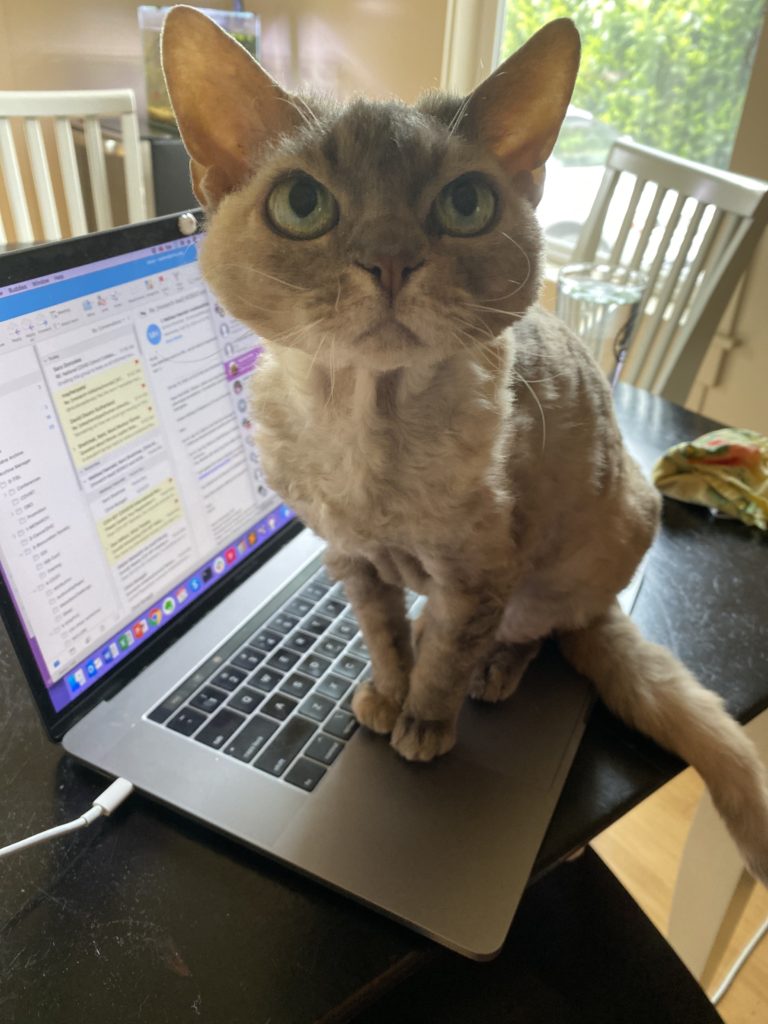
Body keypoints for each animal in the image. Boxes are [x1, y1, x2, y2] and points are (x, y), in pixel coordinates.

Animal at [162, 6, 768, 884]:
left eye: (467, 204)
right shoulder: (350, 558)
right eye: (303, 203)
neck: (365, 431)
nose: (389, 260)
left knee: (535, 635)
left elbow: (449, 658)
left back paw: (495, 674)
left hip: (591, 548)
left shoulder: (482, 572)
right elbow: (382, 639)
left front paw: (424, 722)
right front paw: (387, 693)